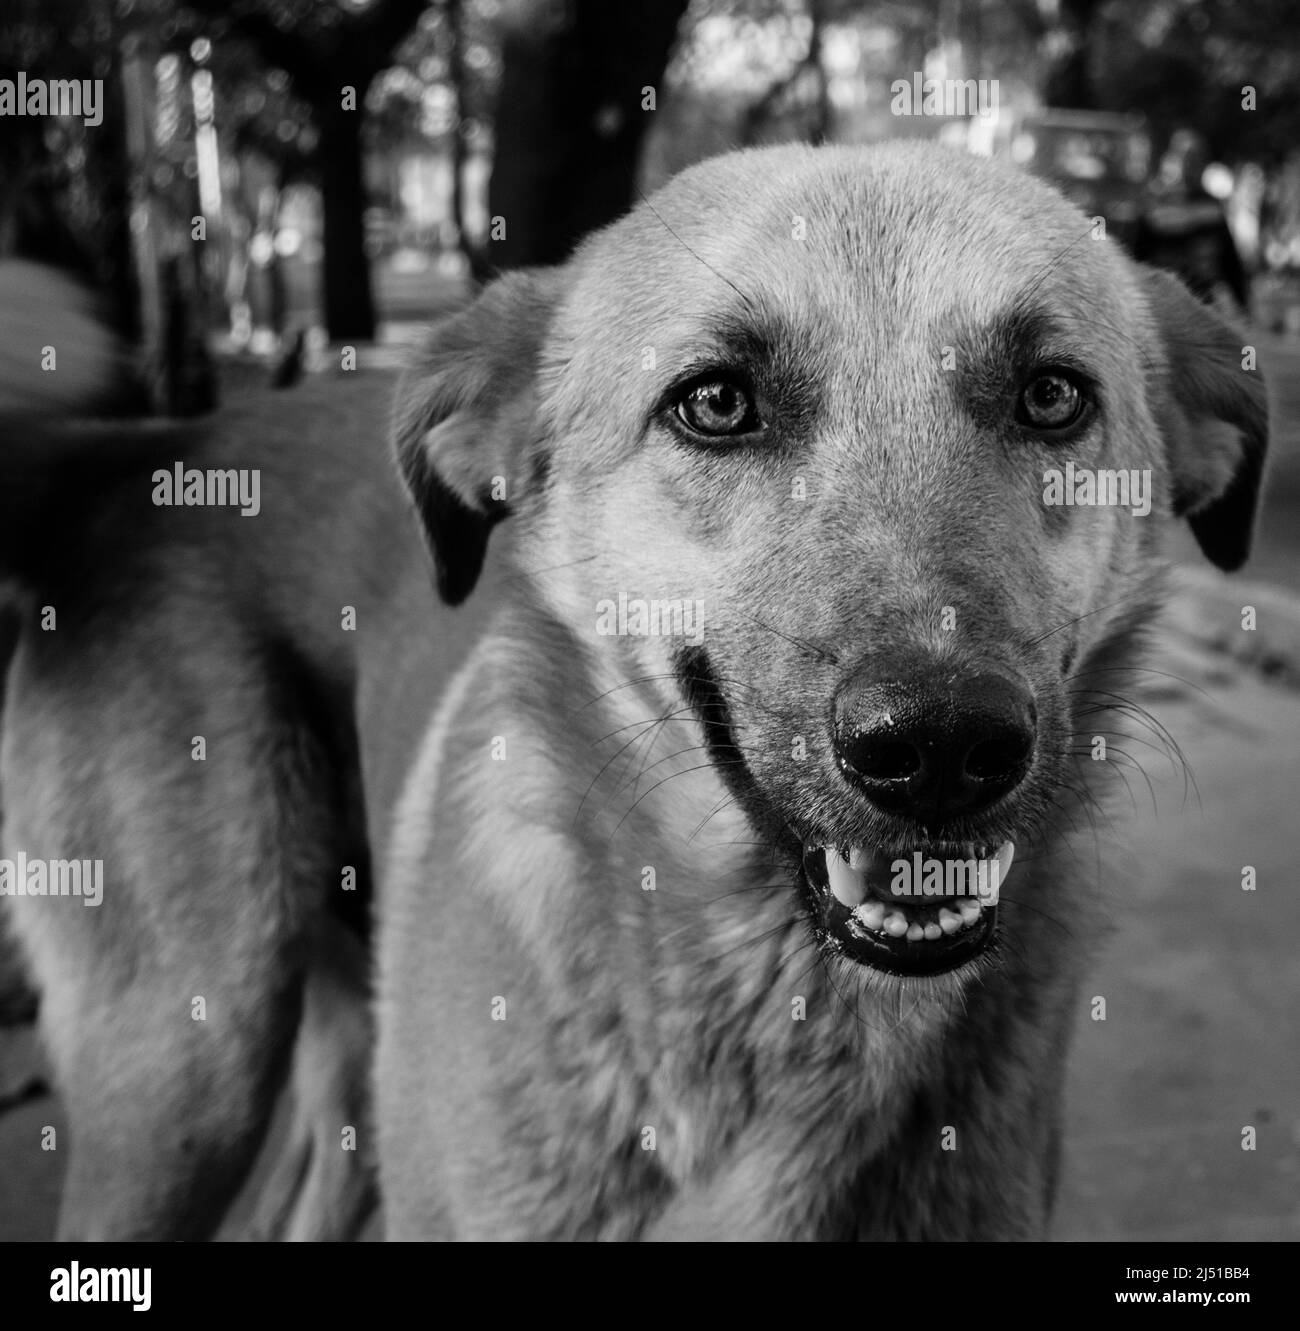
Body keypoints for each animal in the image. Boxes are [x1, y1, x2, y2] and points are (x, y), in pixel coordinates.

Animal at [0, 140, 1261, 1240]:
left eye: (1051, 396)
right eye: (715, 402)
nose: (942, 744)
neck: (777, 995)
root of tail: (141, 453)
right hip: (183, 1067)